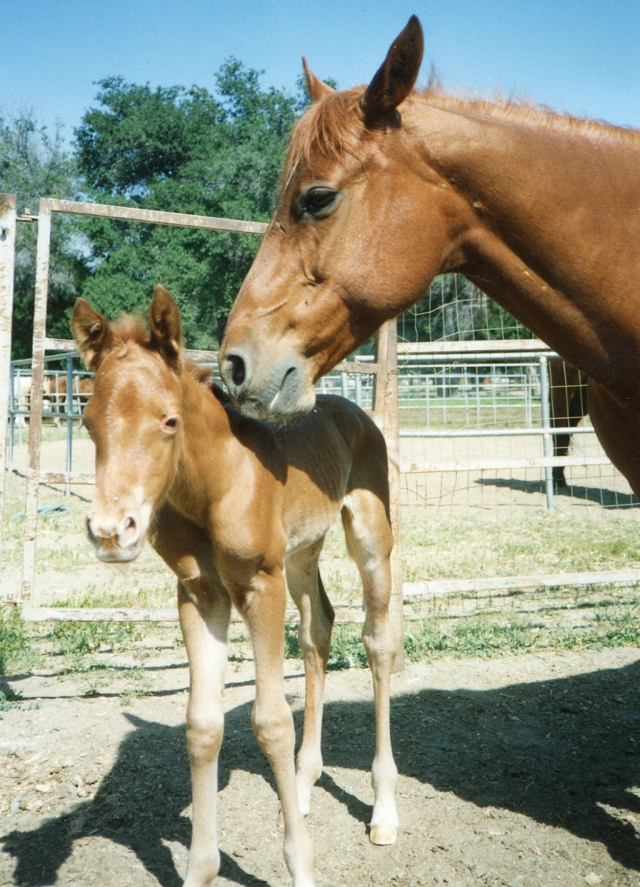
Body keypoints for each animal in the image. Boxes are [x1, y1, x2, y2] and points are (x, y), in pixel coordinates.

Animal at [71, 288, 400, 884]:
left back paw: (384, 809)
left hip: (369, 537)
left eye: (169, 421)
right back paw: (303, 784)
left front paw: (300, 865)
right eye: (86, 421)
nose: (111, 531)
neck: (215, 484)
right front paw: (201, 868)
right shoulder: (200, 595)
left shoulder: (258, 588)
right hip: (301, 554)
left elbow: (270, 721)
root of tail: (350, 409)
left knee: (377, 642)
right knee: (319, 629)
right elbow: (202, 726)